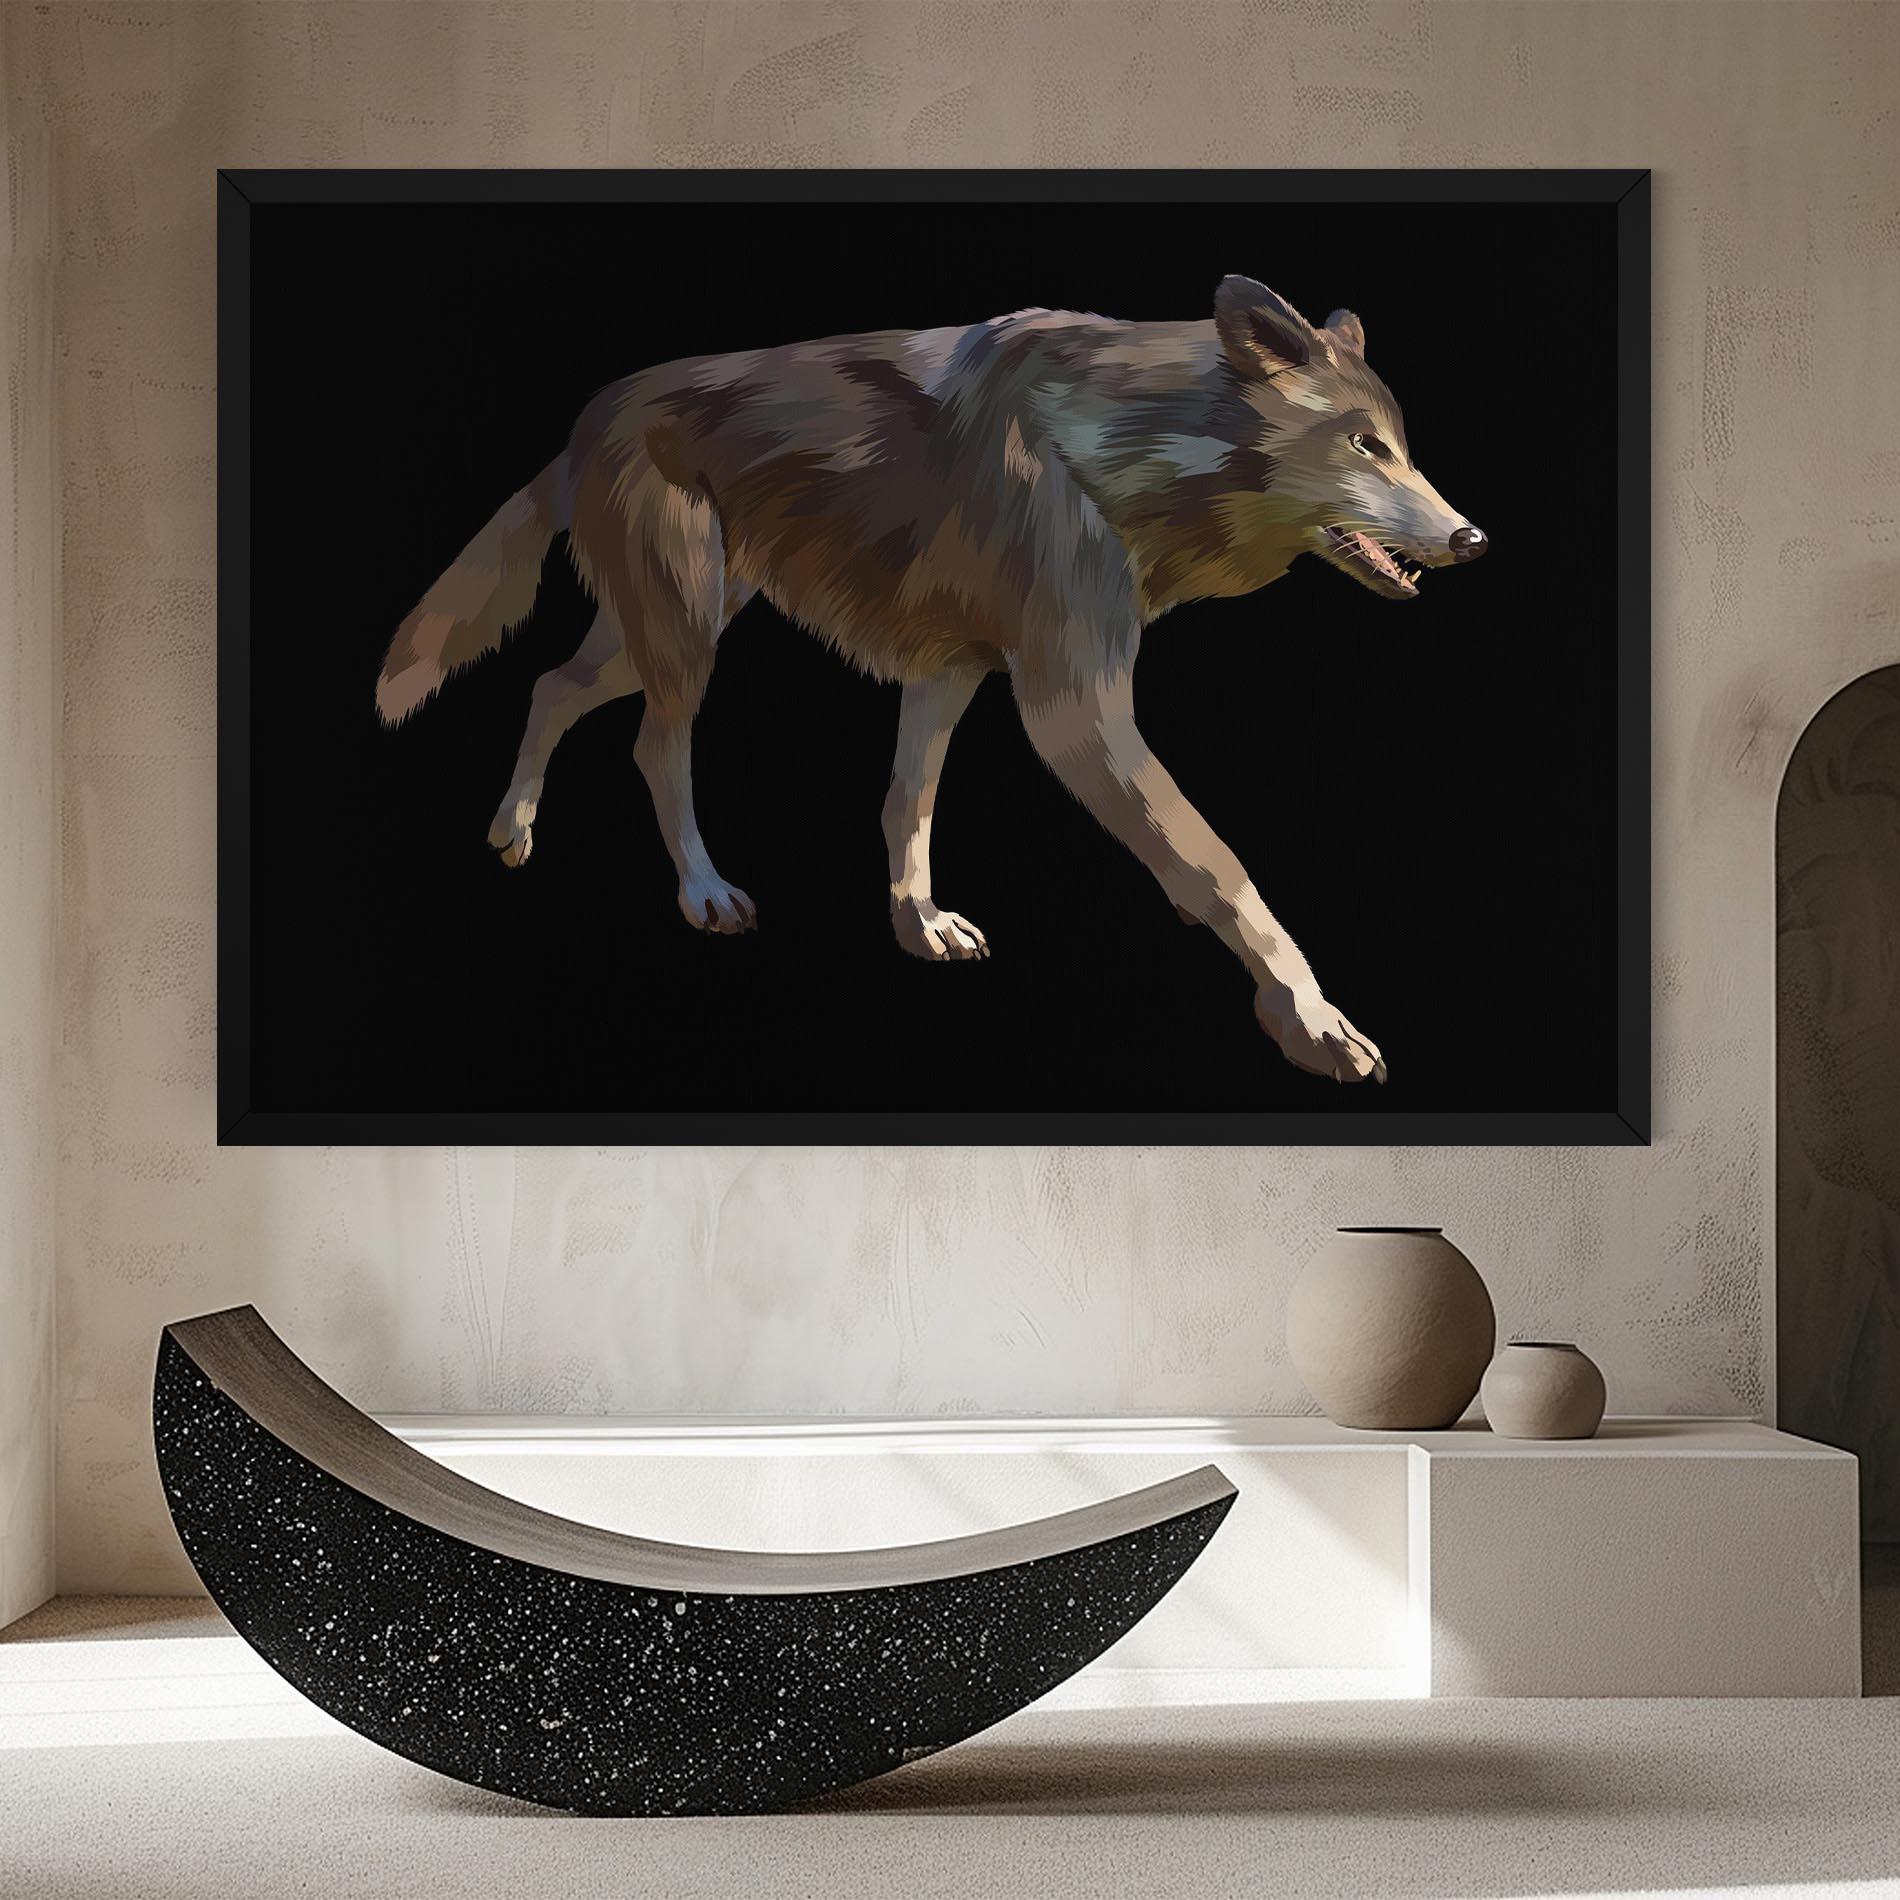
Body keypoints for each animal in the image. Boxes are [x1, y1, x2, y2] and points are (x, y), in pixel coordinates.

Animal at [375, 275, 1485, 1084]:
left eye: (1404, 447)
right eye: (1365, 445)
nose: (1473, 539)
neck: (1122, 450)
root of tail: (588, 412)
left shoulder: (949, 671)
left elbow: (907, 804)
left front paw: (918, 925)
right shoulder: (1072, 710)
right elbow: (1221, 868)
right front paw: (1312, 1021)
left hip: (662, 631)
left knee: (550, 686)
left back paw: (512, 830)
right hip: (685, 637)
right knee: (652, 744)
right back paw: (702, 892)